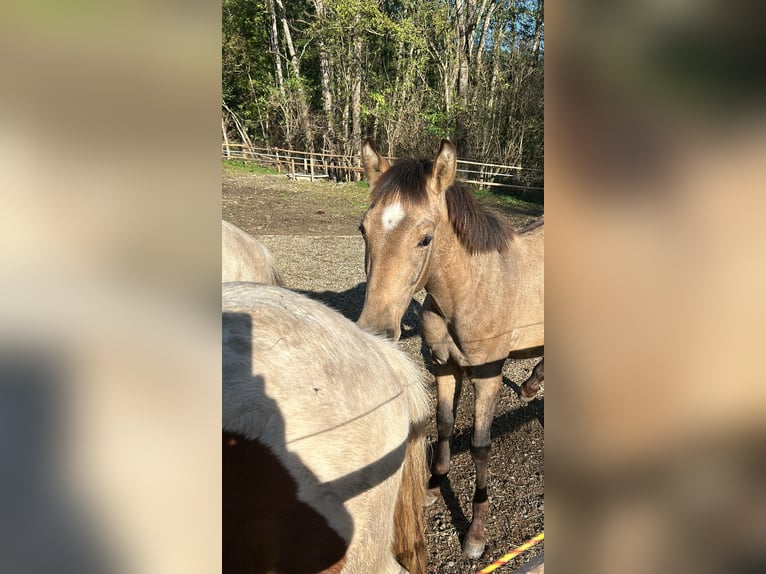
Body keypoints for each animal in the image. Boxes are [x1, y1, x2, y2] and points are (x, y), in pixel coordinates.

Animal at [360, 138, 544, 560]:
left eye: (425, 238)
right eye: (363, 230)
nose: (375, 331)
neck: (471, 291)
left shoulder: (488, 376)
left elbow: (479, 446)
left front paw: (475, 533)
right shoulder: (443, 366)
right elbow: (443, 423)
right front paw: (431, 487)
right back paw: (530, 386)